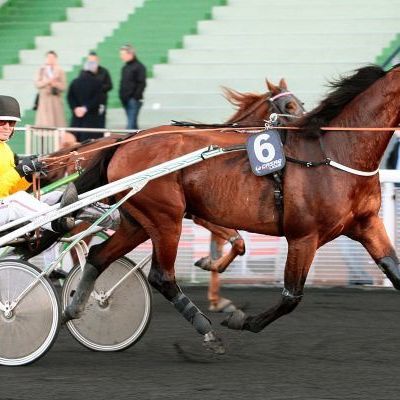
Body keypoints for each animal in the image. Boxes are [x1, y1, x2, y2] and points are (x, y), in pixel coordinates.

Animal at [64, 63, 400, 354]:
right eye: (288, 105)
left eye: (299, 103)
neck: (332, 153)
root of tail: (125, 142)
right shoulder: (304, 236)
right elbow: (290, 296)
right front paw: (242, 319)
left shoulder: (367, 223)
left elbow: (395, 272)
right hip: (165, 218)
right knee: (161, 276)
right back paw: (206, 330)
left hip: (139, 221)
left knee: (98, 255)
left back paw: (74, 307)